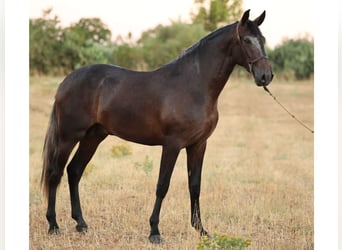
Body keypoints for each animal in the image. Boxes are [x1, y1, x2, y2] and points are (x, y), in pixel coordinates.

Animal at [41, 10, 274, 244]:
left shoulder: (198, 145)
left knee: (74, 171)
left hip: (93, 137)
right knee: (55, 173)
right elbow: (163, 185)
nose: (266, 76)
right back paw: (53, 225)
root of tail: (66, 81)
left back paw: (80, 223)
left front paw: (201, 230)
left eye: (262, 39)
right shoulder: (172, 145)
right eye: (247, 40)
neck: (194, 85)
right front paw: (154, 231)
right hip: (68, 137)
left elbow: (195, 186)